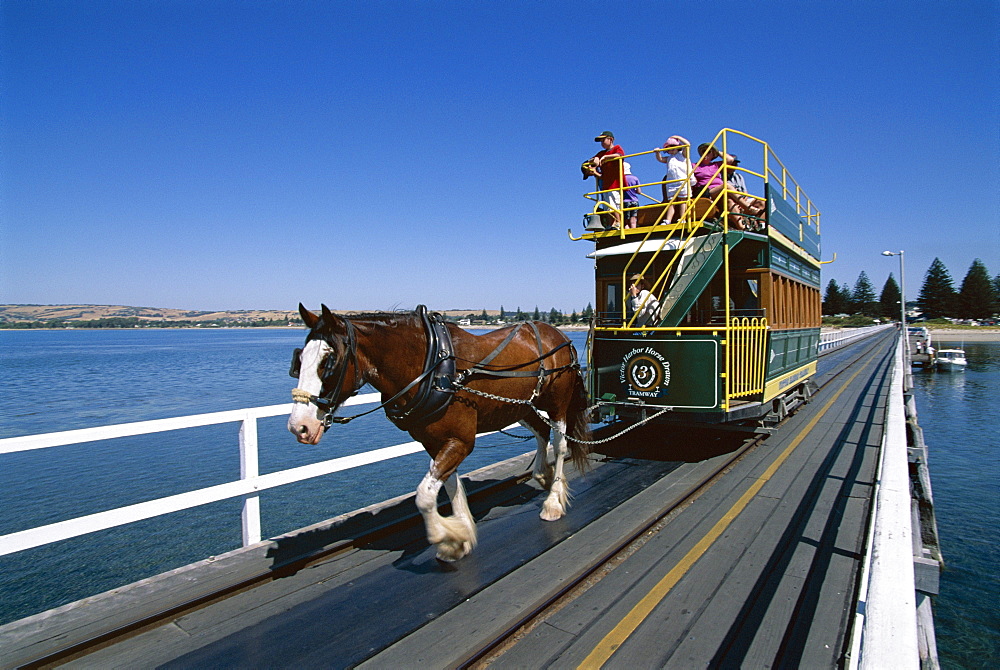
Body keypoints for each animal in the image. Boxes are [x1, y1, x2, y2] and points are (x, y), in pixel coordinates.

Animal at [286, 308, 588, 564]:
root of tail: (559, 336)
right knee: (541, 432)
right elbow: (448, 484)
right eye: (298, 360)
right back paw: (542, 475)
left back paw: (553, 501)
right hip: (521, 406)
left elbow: (424, 496)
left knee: (560, 444)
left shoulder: (460, 442)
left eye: (328, 361)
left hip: (557, 403)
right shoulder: (435, 442)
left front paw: (446, 538)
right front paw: (460, 536)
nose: (298, 426)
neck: (430, 369)